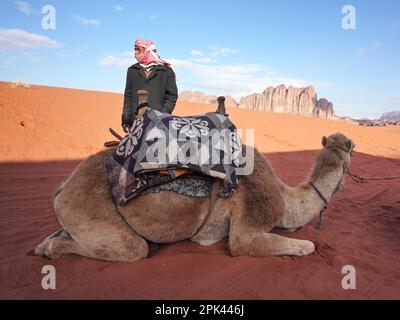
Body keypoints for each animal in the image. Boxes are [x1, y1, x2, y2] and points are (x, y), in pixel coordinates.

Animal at [33, 129, 354, 262]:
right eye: (352, 148)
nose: (348, 144)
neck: (287, 200)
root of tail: (63, 187)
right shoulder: (250, 220)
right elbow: (304, 246)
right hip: (91, 210)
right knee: (133, 249)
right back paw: (49, 250)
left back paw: (45, 243)